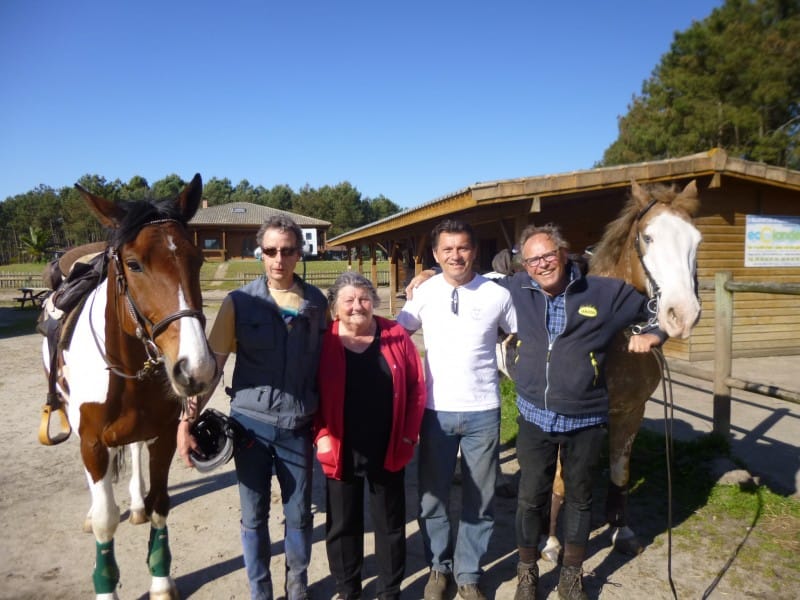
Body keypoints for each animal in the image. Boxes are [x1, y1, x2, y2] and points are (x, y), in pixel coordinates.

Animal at [42, 176, 217, 596]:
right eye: (134, 264)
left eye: (198, 260)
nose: (196, 368)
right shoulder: (92, 441)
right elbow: (106, 519)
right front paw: (106, 586)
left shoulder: (164, 436)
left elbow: (160, 504)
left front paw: (161, 580)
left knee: (135, 452)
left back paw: (135, 503)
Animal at [544, 179, 700, 556]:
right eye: (648, 237)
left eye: (697, 239)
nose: (682, 314)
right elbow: (560, 480)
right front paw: (552, 540)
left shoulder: (631, 411)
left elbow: (620, 474)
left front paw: (621, 529)